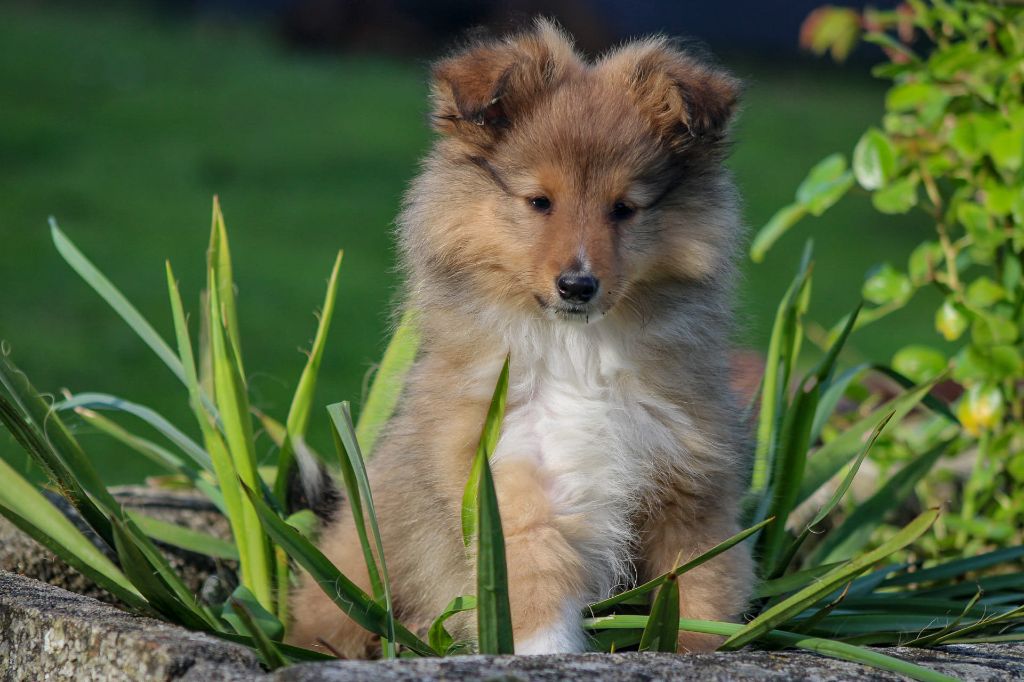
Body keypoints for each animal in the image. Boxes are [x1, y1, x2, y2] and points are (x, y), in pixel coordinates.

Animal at [288, 17, 753, 655]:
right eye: (539, 202)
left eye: (624, 208)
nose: (577, 285)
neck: (578, 353)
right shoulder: (507, 469)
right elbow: (532, 571)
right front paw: (543, 651)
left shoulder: (691, 479)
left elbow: (700, 582)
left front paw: (695, 650)